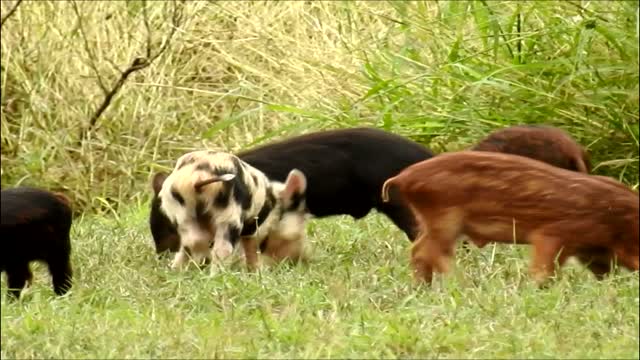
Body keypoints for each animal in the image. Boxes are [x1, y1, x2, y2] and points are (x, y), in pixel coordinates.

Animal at [382, 150, 636, 286]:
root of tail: (402, 177)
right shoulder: (552, 234)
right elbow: (545, 268)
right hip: (444, 219)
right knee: (428, 251)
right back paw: (462, 285)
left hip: (431, 221)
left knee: (419, 250)